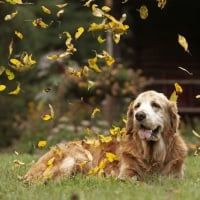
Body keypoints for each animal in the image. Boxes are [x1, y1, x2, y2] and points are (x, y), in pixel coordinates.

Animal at [23, 90, 188, 183]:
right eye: (137, 106)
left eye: (155, 105)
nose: (139, 115)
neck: (152, 155)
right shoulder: (126, 175)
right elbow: (142, 183)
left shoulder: (177, 177)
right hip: (81, 156)